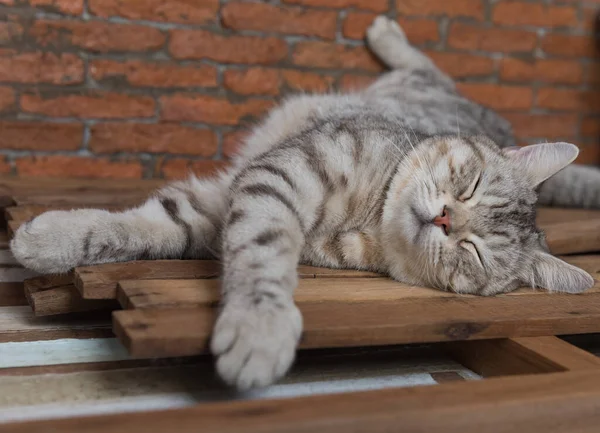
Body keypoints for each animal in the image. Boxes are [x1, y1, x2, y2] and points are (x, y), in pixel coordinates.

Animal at [10, 16, 600, 388]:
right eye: (471, 184)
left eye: (474, 251)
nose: (445, 217)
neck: (372, 216)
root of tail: (507, 125)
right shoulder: (279, 176)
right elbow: (136, 227)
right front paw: (48, 237)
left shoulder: (234, 201)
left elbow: (190, 236)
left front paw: (259, 327)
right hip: (426, 84)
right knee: (429, 64)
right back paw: (388, 32)